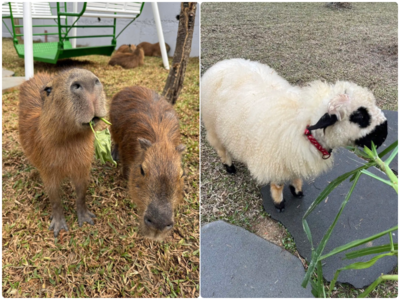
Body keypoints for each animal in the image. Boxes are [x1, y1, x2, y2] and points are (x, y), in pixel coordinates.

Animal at [202, 58, 390, 211]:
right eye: (359, 116)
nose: (384, 135)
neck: (304, 125)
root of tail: (222, 63)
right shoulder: (276, 161)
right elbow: (278, 185)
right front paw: (279, 203)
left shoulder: (294, 156)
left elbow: (296, 175)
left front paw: (297, 190)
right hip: (213, 126)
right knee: (221, 148)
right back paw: (229, 167)